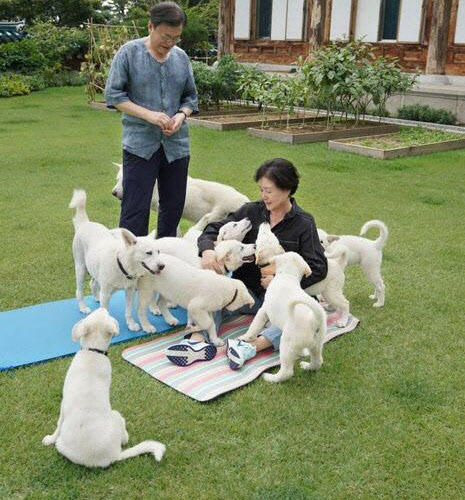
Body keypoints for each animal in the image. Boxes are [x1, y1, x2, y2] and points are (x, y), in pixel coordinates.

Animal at [41, 308, 165, 468]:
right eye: (105, 314)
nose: (103, 307)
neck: (93, 351)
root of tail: (114, 455)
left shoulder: (63, 407)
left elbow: (58, 424)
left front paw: (50, 438)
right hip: (116, 414)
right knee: (125, 438)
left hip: (61, 445)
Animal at [68, 188, 164, 332]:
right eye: (148, 253)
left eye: (158, 252)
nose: (162, 266)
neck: (123, 266)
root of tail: (85, 223)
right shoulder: (106, 293)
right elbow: (104, 311)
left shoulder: (130, 291)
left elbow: (128, 311)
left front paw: (131, 324)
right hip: (80, 268)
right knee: (79, 291)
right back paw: (83, 307)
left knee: (93, 283)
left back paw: (96, 297)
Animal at [110, 163, 248, 228]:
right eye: (117, 180)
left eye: (125, 182)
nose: (113, 193)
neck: (155, 187)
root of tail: (246, 200)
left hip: (217, 214)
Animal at [239, 252, 326, 384]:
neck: (287, 276)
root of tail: (314, 320)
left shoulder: (263, 311)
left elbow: (255, 326)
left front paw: (246, 337)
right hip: (316, 345)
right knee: (317, 362)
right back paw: (306, 365)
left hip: (286, 344)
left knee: (287, 372)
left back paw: (270, 377)